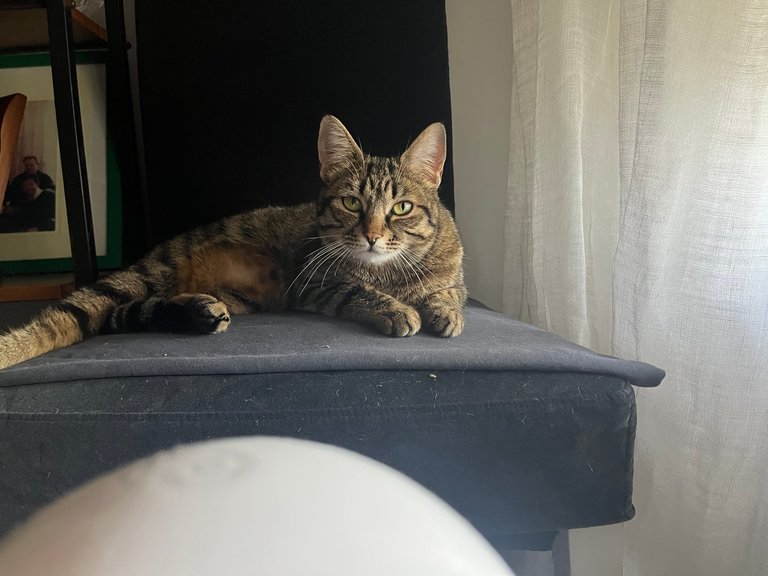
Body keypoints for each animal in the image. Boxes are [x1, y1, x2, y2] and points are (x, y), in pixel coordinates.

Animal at [0, 115, 466, 371]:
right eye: (352, 202)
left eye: (402, 208)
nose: (371, 235)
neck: (388, 270)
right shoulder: (313, 282)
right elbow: (357, 290)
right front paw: (396, 309)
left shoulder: (453, 273)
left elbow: (448, 290)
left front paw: (444, 310)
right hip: (145, 274)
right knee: (68, 319)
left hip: (231, 299)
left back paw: (197, 311)